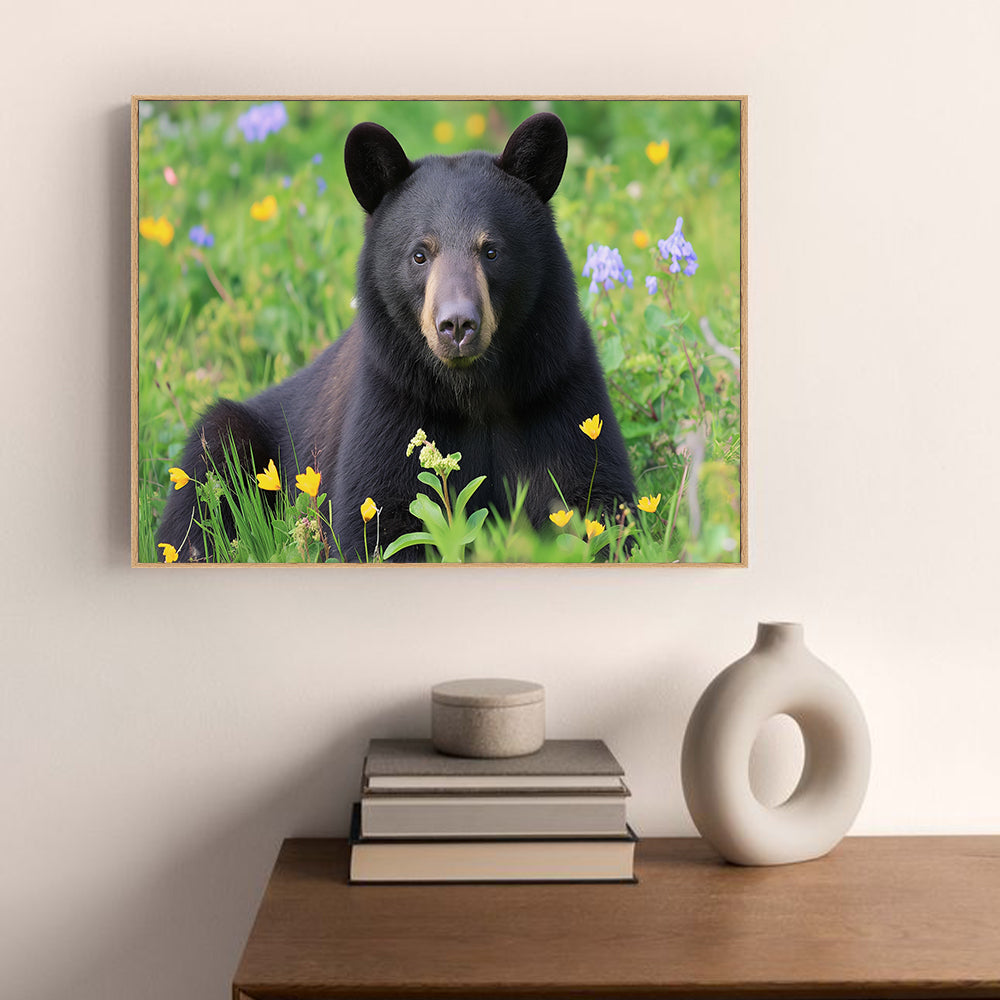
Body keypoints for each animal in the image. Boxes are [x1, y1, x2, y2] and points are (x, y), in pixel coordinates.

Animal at [155, 112, 635, 562]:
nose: (457, 325)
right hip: (227, 439)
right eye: (420, 254)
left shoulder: (556, 389)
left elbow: (593, 500)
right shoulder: (391, 400)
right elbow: (376, 520)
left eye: (491, 250)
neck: (472, 392)